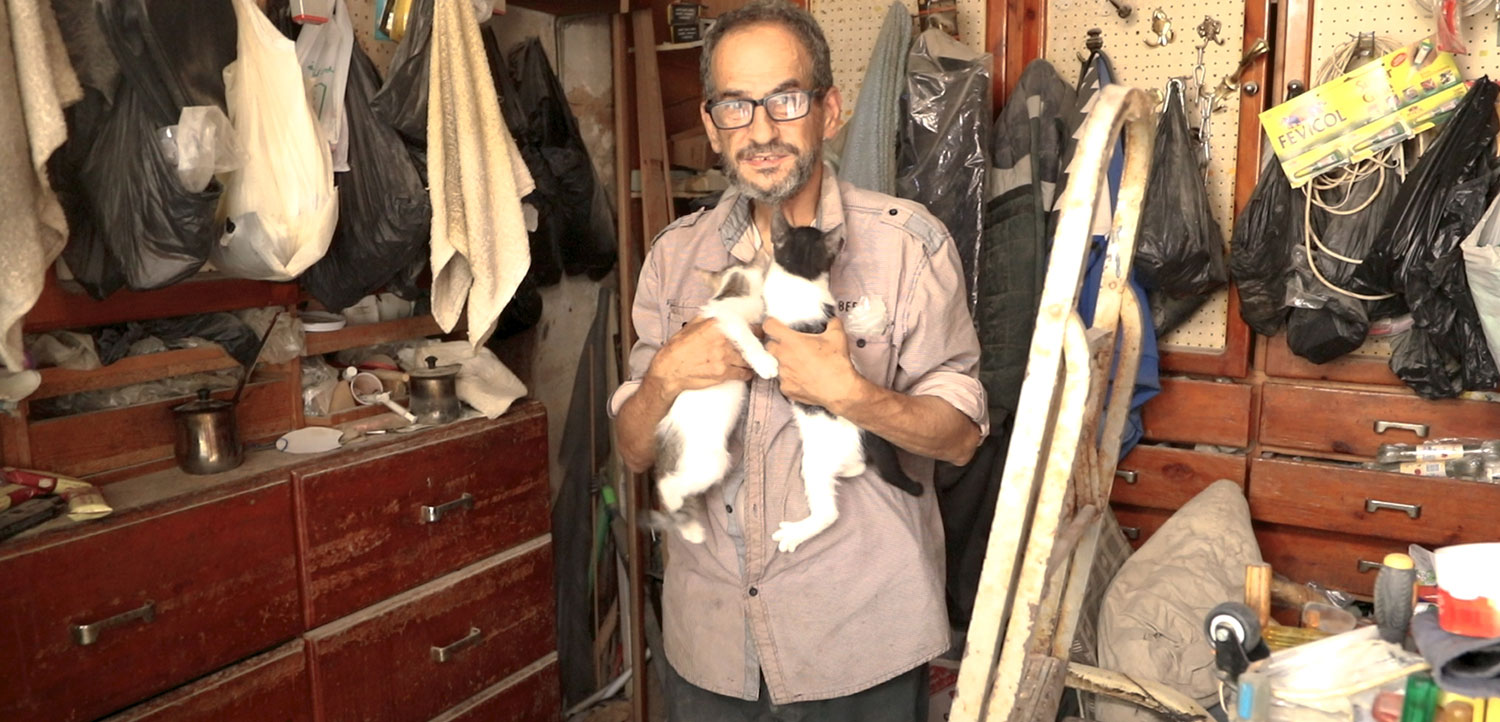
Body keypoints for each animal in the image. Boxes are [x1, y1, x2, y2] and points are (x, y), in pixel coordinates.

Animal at [653, 255, 780, 544]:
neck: (730, 291)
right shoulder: (729, 320)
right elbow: (748, 336)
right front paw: (765, 362)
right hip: (712, 463)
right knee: (668, 486)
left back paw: (691, 530)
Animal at [764, 213, 923, 554]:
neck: (801, 275)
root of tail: (869, 432)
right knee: (858, 467)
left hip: (817, 461)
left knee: (829, 513)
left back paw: (796, 533)